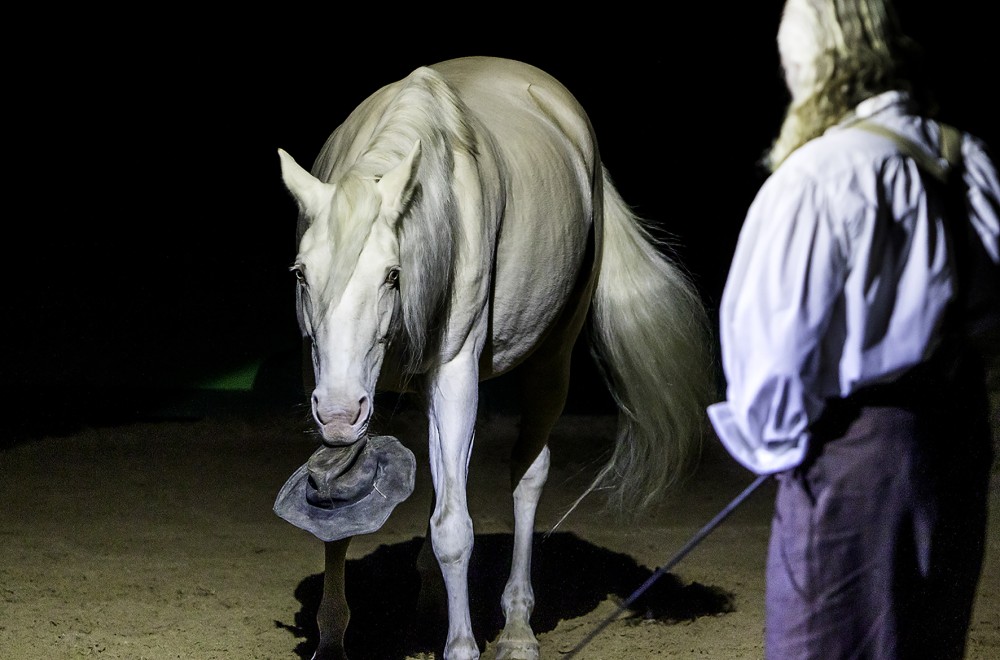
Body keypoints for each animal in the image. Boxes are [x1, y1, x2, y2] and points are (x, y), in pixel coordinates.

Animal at [276, 55, 712, 660]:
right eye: (300, 274)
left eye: (392, 274)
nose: (341, 413)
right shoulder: (325, 380)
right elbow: (345, 512)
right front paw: (334, 643)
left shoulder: (455, 373)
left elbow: (456, 529)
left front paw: (462, 646)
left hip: (551, 363)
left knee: (528, 474)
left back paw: (517, 627)